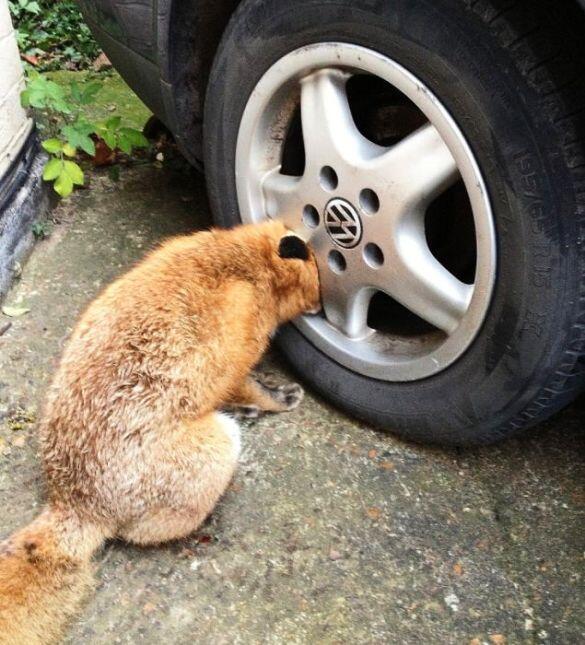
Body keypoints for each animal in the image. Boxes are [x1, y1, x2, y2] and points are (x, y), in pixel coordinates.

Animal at [0, 219, 320, 640]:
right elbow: (254, 388)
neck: (241, 265)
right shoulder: (233, 358)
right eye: (318, 270)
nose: (322, 303)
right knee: (141, 533)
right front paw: (278, 398)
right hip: (220, 446)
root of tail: (72, 504)